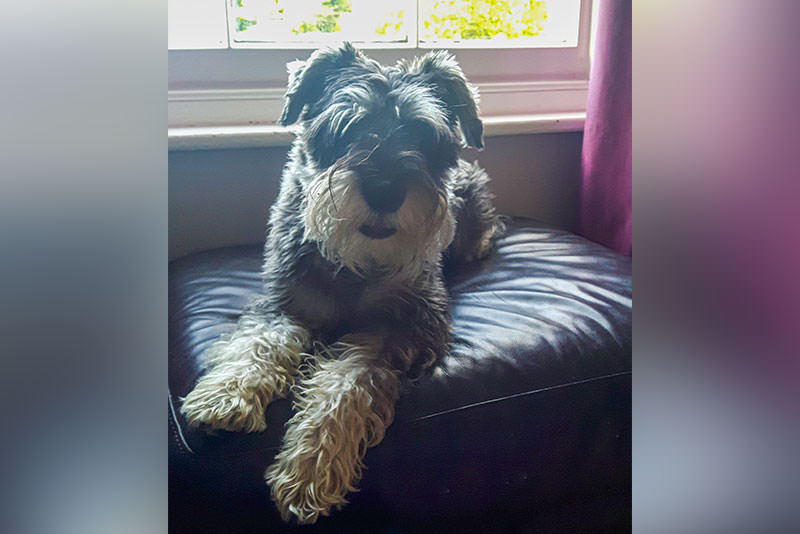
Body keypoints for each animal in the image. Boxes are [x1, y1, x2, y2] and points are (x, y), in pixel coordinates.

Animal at [181, 43, 504, 528]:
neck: (356, 263)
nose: (385, 190)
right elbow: (258, 343)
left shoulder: (405, 324)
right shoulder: (285, 303)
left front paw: (311, 468)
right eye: (346, 125)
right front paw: (225, 395)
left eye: (423, 134)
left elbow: (346, 382)